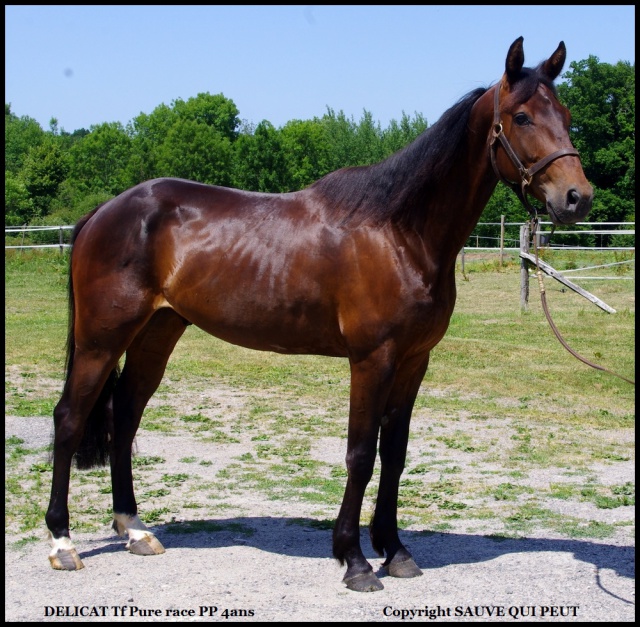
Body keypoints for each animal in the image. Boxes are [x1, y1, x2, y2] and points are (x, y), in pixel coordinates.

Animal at [47, 39, 592, 592]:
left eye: (566, 115)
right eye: (521, 116)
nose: (577, 197)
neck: (400, 232)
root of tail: (104, 212)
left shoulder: (414, 361)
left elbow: (395, 454)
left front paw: (395, 550)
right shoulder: (372, 359)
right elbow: (360, 454)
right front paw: (354, 559)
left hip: (157, 332)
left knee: (125, 416)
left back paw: (135, 530)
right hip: (100, 339)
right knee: (69, 418)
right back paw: (62, 543)